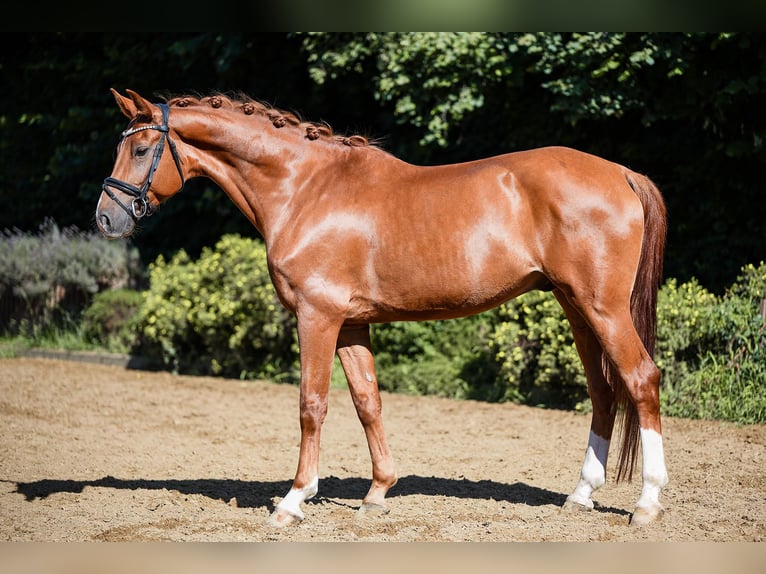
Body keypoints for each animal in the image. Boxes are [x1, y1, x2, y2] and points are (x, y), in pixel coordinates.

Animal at [96, 89, 668, 528]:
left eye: (142, 148)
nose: (106, 218)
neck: (305, 188)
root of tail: (621, 173)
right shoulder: (351, 324)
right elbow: (367, 402)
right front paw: (376, 494)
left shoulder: (317, 317)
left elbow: (312, 404)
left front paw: (293, 500)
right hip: (576, 308)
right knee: (603, 392)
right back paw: (581, 494)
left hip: (603, 309)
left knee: (641, 380)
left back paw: (646, 503)